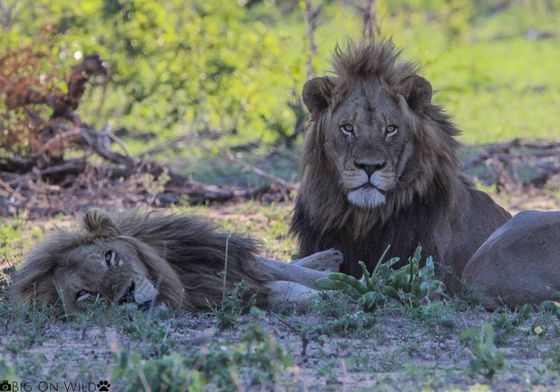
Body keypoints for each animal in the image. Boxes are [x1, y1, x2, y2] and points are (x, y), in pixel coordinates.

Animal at [9, 210, 342, 314]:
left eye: (110, 257)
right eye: (84, 295)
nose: (127, 295)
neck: (176, 273)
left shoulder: (229, 260)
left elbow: (286, 270)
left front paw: (348, 281)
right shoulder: (228, 292)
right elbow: (287, 290)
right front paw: (336, 296)